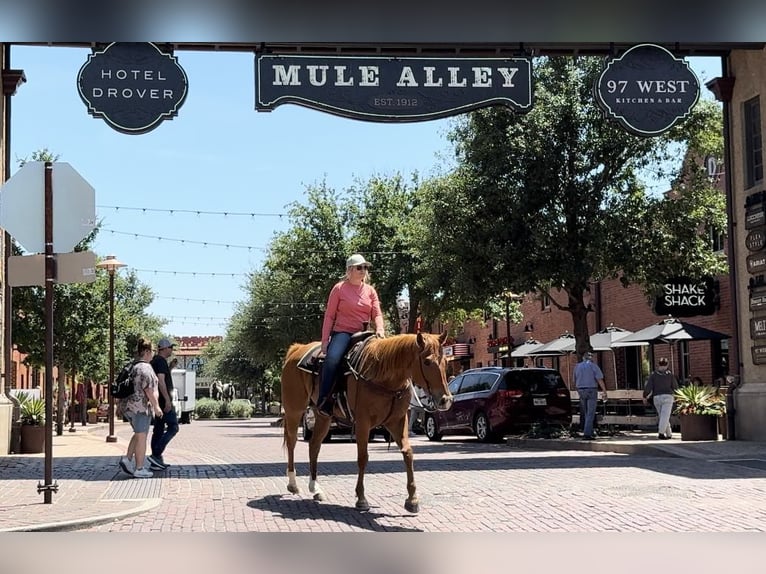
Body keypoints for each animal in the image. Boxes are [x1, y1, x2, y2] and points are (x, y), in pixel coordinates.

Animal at [282, 330, 456, 516]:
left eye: (446, 361)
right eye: (427, 361)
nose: (446, 400)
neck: (384, 377)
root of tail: (296, 349)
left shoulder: (397, 420)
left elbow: (408, 453)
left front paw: (412, 500)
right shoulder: (363, 422)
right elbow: (363, 457)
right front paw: (361, 498)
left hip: (323, 416)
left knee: (314, 445)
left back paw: (315, 489)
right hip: (294, 410)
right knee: (292, 442)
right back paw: (292, 484)